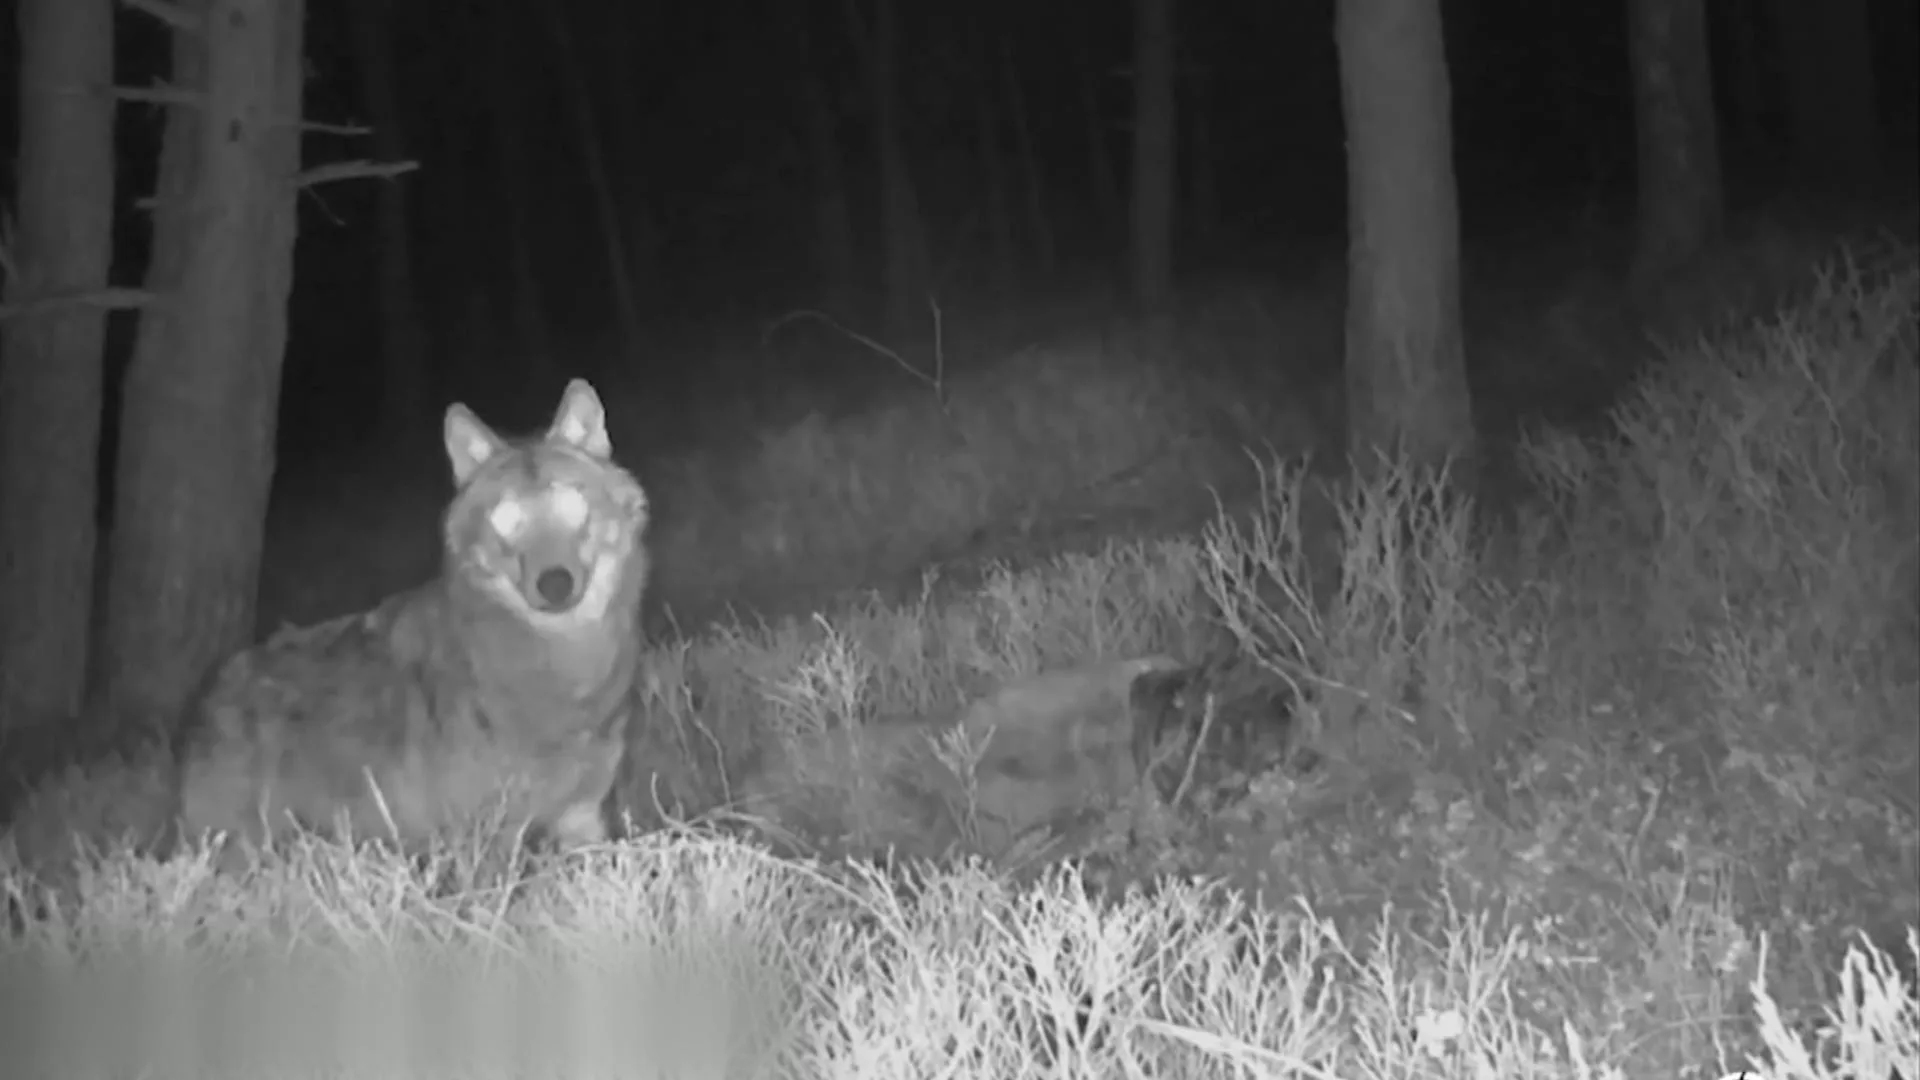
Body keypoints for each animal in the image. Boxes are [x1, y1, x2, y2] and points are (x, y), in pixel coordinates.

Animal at [170, 378, 651, 871]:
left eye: (574, 507)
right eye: (506, 521)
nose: (555, 583)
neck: (564, 680)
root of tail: (209, 691)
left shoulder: (582, 819)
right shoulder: (485, 837)